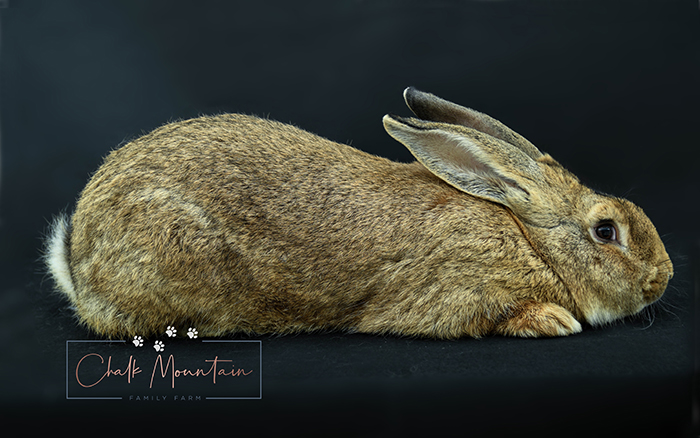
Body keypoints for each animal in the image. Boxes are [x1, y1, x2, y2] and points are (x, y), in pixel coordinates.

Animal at [44, 87, 673, 339]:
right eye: (606, 230)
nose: (663, 278)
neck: (533, 242)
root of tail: (78, 264)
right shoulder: (460, 291)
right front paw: (554, 320)